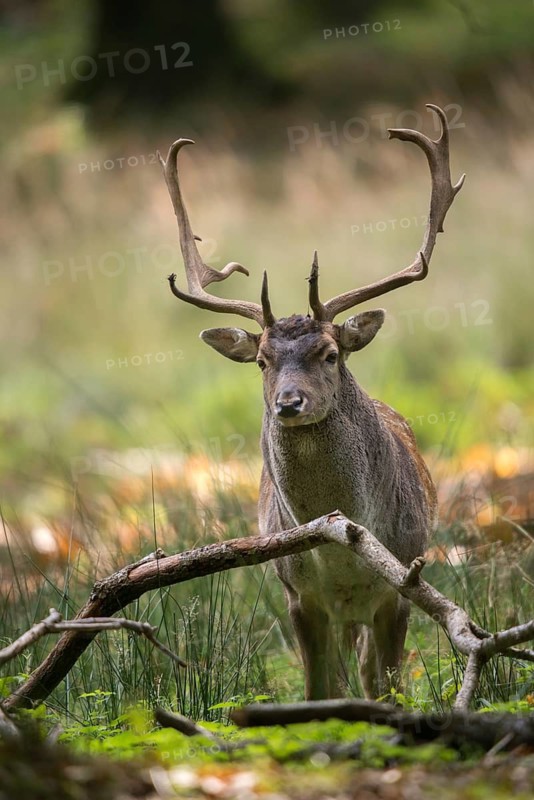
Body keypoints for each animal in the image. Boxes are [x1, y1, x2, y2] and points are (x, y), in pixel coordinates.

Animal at [157, 104, 464, 700]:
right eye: (261, 361)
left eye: (329, 353)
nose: (289, 403)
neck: (340, 555)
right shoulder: (298, 594)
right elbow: (319, 687)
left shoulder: (401, 583)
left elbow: (388, 683)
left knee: (368, 671)